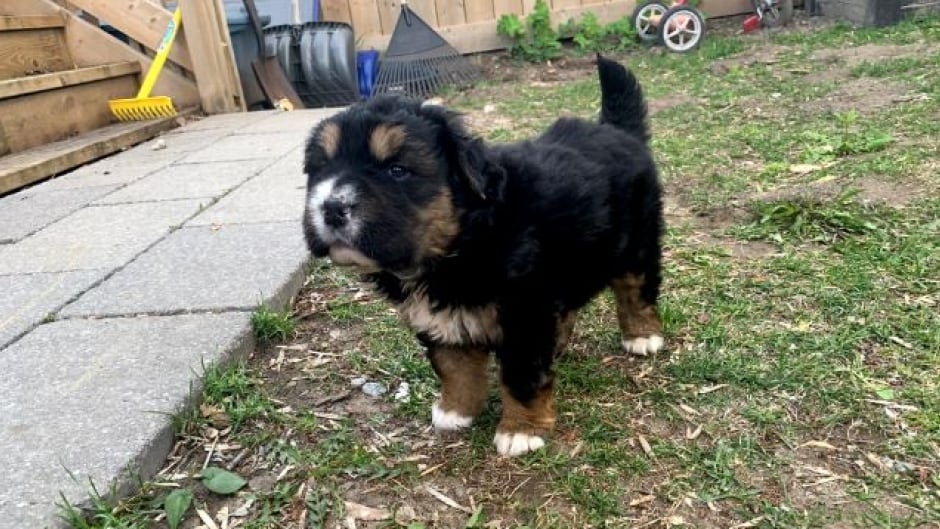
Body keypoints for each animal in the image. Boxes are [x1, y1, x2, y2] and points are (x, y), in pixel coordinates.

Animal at [304, 55, 664, 456]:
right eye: (318, 170)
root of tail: (616, 130)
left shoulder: (525, 314)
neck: (462, 240)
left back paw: (642, 336)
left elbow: (521, 376)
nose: (331, 207)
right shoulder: (442, 319)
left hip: (637, 242)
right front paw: (455, 411)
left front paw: (520, 431)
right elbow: (454, 366)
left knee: (636, 290)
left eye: (397, 170)